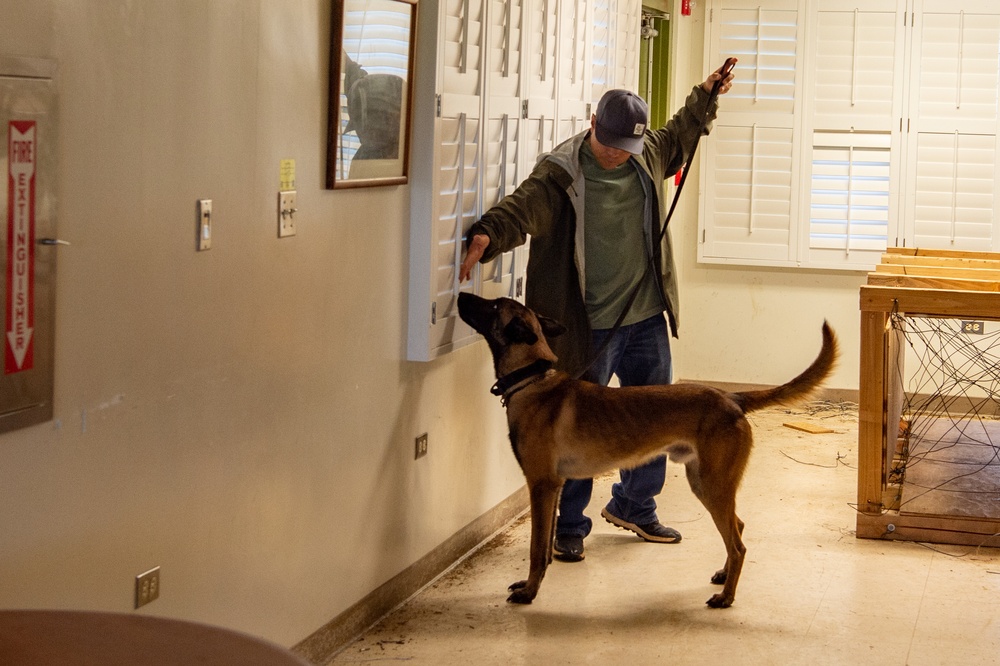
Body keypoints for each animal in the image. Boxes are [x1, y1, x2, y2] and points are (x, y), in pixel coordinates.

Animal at [458, 294, 836, 604]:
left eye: (493, 305)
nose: (461, 294)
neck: (532, 380)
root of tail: (731, 398)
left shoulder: (541, 485)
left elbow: (537, 549)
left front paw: (529, 593)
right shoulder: (553, 487)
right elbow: (545, 546)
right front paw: (533, 583)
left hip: (713, 486)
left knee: (739, 544)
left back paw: (726, 598)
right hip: (705, 484)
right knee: (738, 528)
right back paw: (723, 576)